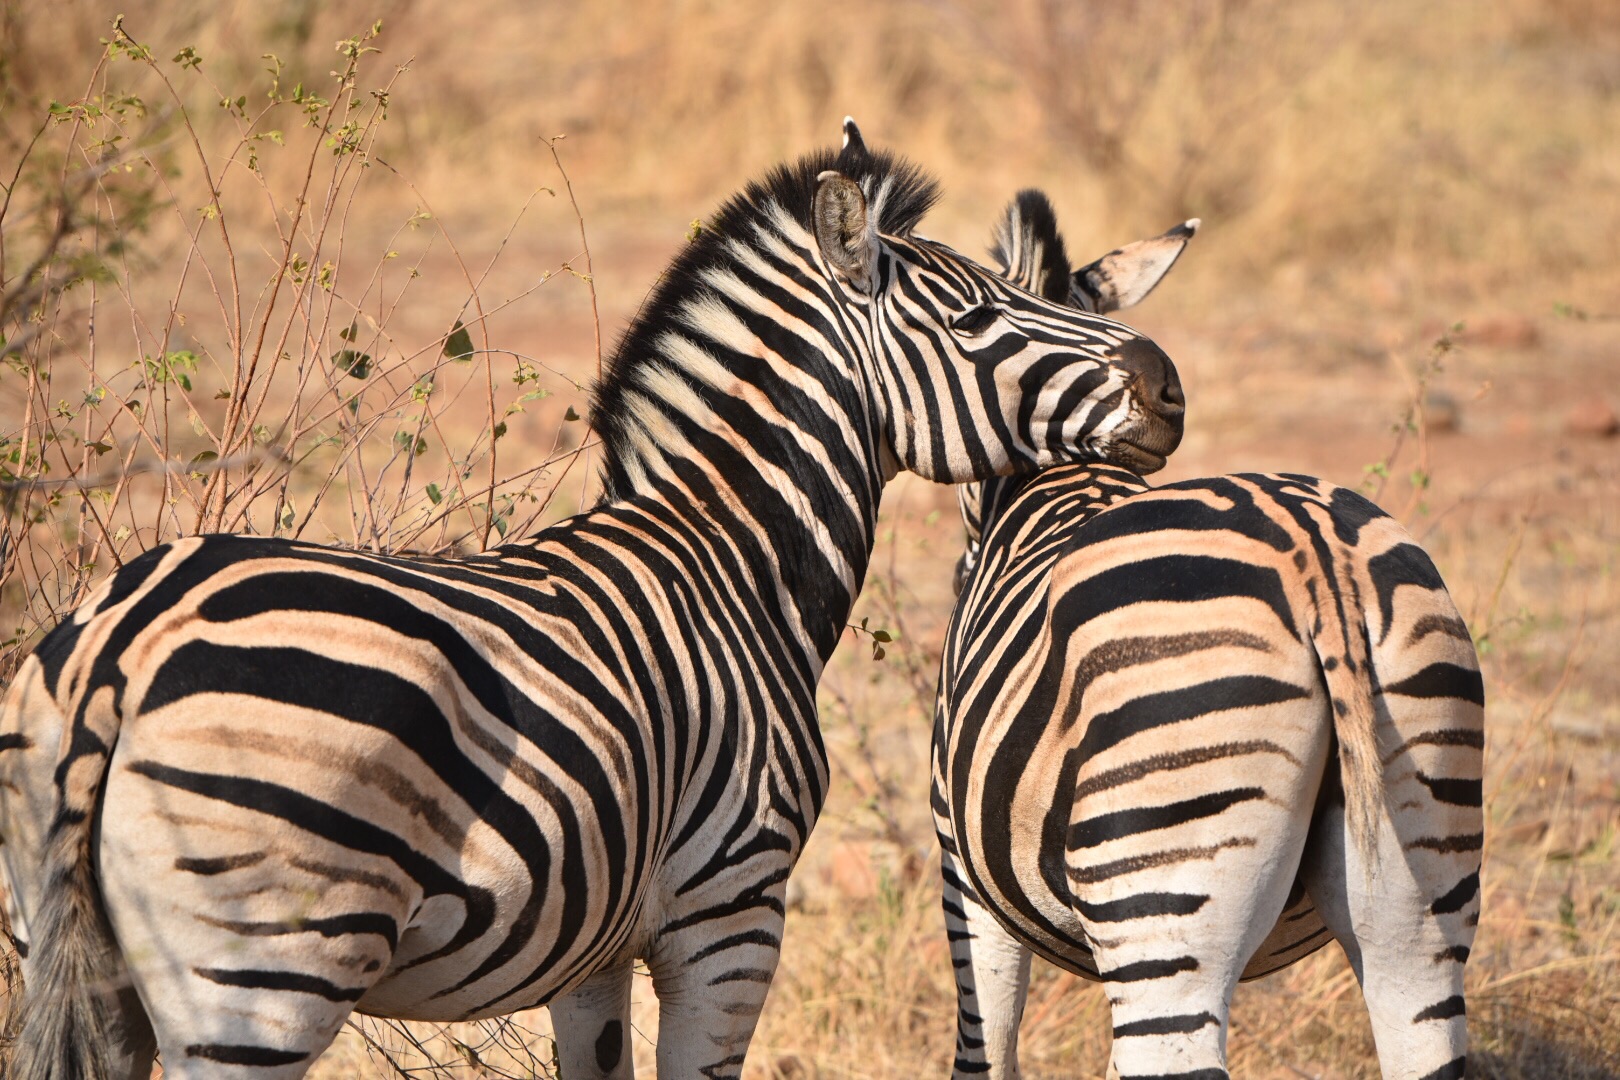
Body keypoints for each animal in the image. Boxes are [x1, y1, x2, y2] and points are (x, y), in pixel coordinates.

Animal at [0, 122, 1192, 1075]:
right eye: (984, 316)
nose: (1169, 385)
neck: (732, 557)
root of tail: (121, 649)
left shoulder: (595, 946)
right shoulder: (731, 916)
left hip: (81, 960)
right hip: (265, 973)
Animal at [939, 194, 1483, 1080]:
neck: (1067, 479)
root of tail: (1317, 560)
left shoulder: (967, 878)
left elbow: (987, 1047)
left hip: (1166, 889)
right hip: (1421, 880)